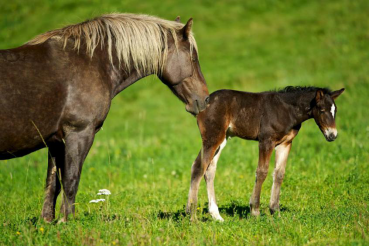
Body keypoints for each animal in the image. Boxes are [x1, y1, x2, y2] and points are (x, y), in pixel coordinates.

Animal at [0, 13, 210, 222]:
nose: (205, 99)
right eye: (193, 57)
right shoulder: (78, 133)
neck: (91, 62)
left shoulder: (54, 141)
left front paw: (49, 222)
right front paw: (67, 221)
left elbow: (52, 185)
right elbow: (71, 179)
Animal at [186, 86, 346, 221]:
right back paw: (192, 215)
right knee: (199, 167)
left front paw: (275, 211)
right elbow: (262, 172)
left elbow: (279, 174)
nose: (332, 135)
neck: (287, 110)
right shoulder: (266, 141)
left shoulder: (285, 143)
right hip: (212, 137)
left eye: (335, 111)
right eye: (322, 110)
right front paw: (255, 210)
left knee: (209, 170)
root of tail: (203, 103)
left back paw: (216, 216)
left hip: (223, 139)